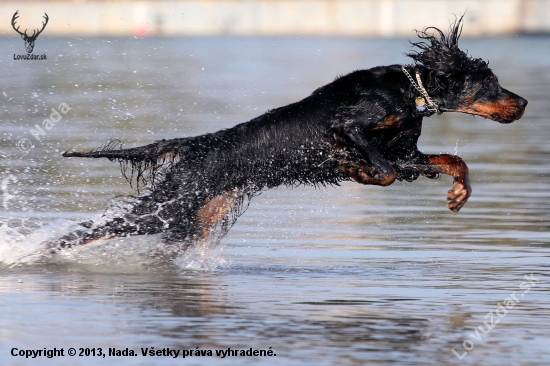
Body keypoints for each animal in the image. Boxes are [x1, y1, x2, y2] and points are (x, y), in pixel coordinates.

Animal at [58, 18, 528, 250]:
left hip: (197, 216)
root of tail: (197, 144)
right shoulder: (349, 128)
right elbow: (384, 169)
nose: (523, 103)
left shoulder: (405, 150)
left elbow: (452, 161)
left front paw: (459, 194)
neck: (410, 91)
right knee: (90, 230)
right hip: (171, 205)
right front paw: (359, 171)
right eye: (490, 82)